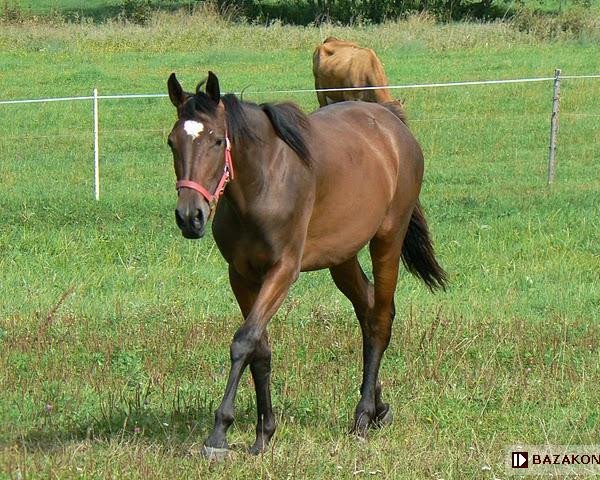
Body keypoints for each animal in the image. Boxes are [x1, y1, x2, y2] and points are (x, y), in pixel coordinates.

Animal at [165, 72, 446, 462]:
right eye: (172, 142)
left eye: (218, 140)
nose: (190, 217)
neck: (262, 185)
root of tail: (393, 126)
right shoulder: (241, 275)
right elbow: (260, 348)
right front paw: (264, 433)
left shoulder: (282, 271)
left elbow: (244, 341)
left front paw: (218, 434)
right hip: (342, 257)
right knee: (367, 308)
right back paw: (378, 406)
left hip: (387, 240)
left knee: (380, 319)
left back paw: (362, 417)